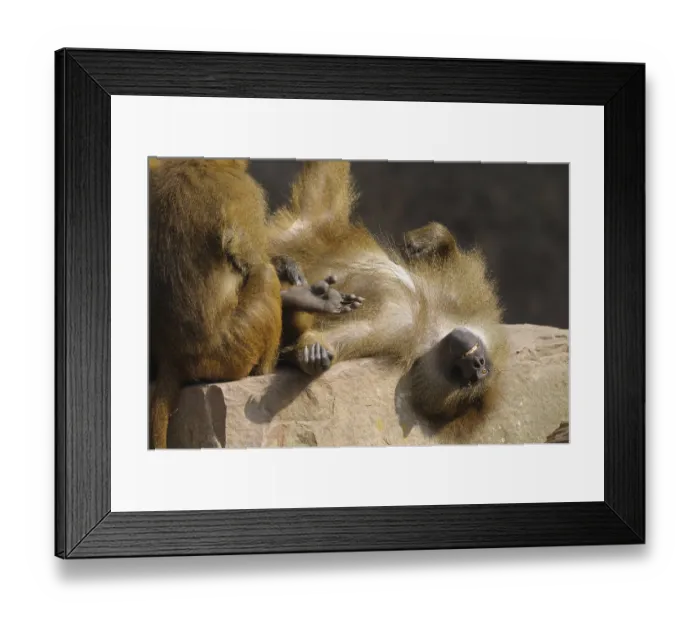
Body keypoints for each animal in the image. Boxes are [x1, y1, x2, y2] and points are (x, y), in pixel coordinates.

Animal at [268, 160, 509, 426]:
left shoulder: (398, 332)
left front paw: (311, 353)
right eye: (482, 367)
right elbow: (452, 262)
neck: (428, 317)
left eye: (472, 379)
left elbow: (356, 333)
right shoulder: (463, 296)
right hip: (312, 225)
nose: (475, 365)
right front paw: (431, 239)